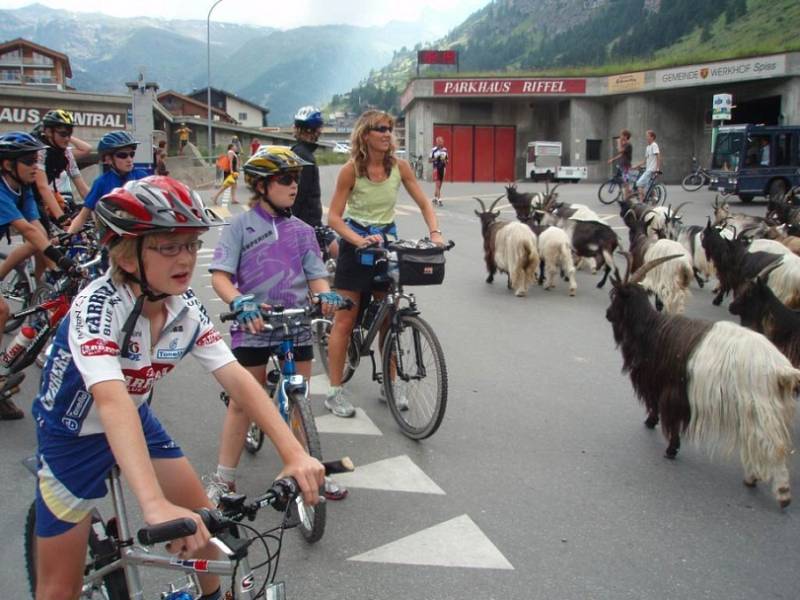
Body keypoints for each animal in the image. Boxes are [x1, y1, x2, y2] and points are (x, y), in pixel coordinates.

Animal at [608, 251, 800, 508]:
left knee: (774, 446)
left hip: (761, 409)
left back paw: (781, 492)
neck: (652, 329)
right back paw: (753, 478)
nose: (608, 314)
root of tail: (782, 369)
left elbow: (666, 413)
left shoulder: (669, 385)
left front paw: (669, 446)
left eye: (616, 295)